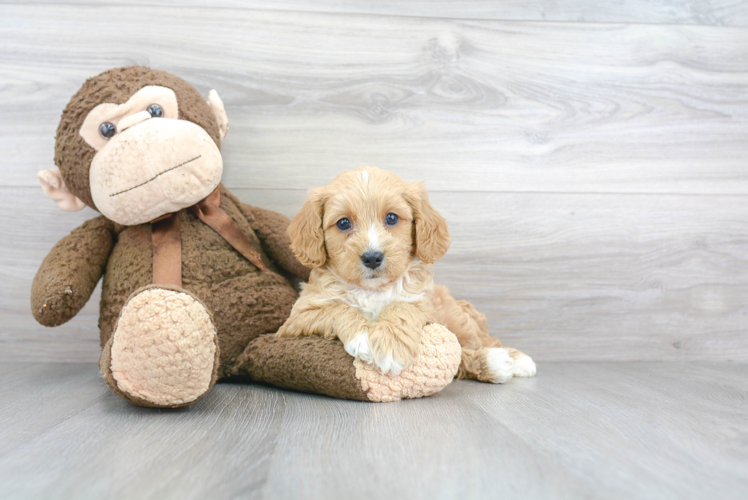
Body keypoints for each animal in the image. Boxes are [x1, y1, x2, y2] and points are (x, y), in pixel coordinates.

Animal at [278, 168, 536, 382]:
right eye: (343, 223)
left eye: (391, 218)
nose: (372, 257)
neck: (373, 290)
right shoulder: (296, 320)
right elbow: (338, 308)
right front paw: (362, 335)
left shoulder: (425, 307)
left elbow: (402, 306)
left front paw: (390, 345)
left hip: (456, 318)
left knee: (475, 341)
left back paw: (511, 359)